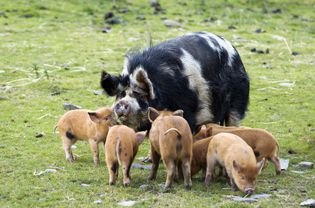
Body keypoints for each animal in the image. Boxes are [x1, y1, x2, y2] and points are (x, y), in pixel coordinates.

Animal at [100, 31, 249, 132]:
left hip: (238, 98)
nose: (122, 103)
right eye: (120, 94)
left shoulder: (187, 107)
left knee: (234, 120)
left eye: (140, 94)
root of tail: (233, 49)